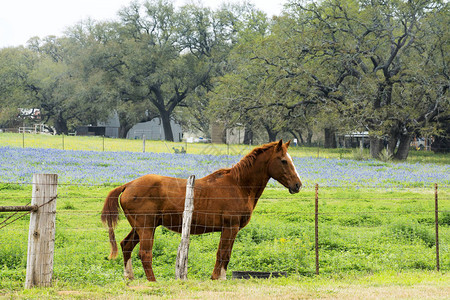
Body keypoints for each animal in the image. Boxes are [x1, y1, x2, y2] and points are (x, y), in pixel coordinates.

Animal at [102, 140, 302, 282]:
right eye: (284, 161)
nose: (298, 185)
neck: (238, 185)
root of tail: (128, 185)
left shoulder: (231, 230)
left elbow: (225, 254)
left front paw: (220, 278)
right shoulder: (230, 228)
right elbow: (222, 254)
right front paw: (217, 278)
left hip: (139, 228)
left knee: (126, 245)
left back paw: (129, 277)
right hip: (146, 228)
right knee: (144, 254)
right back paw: (153, 281)